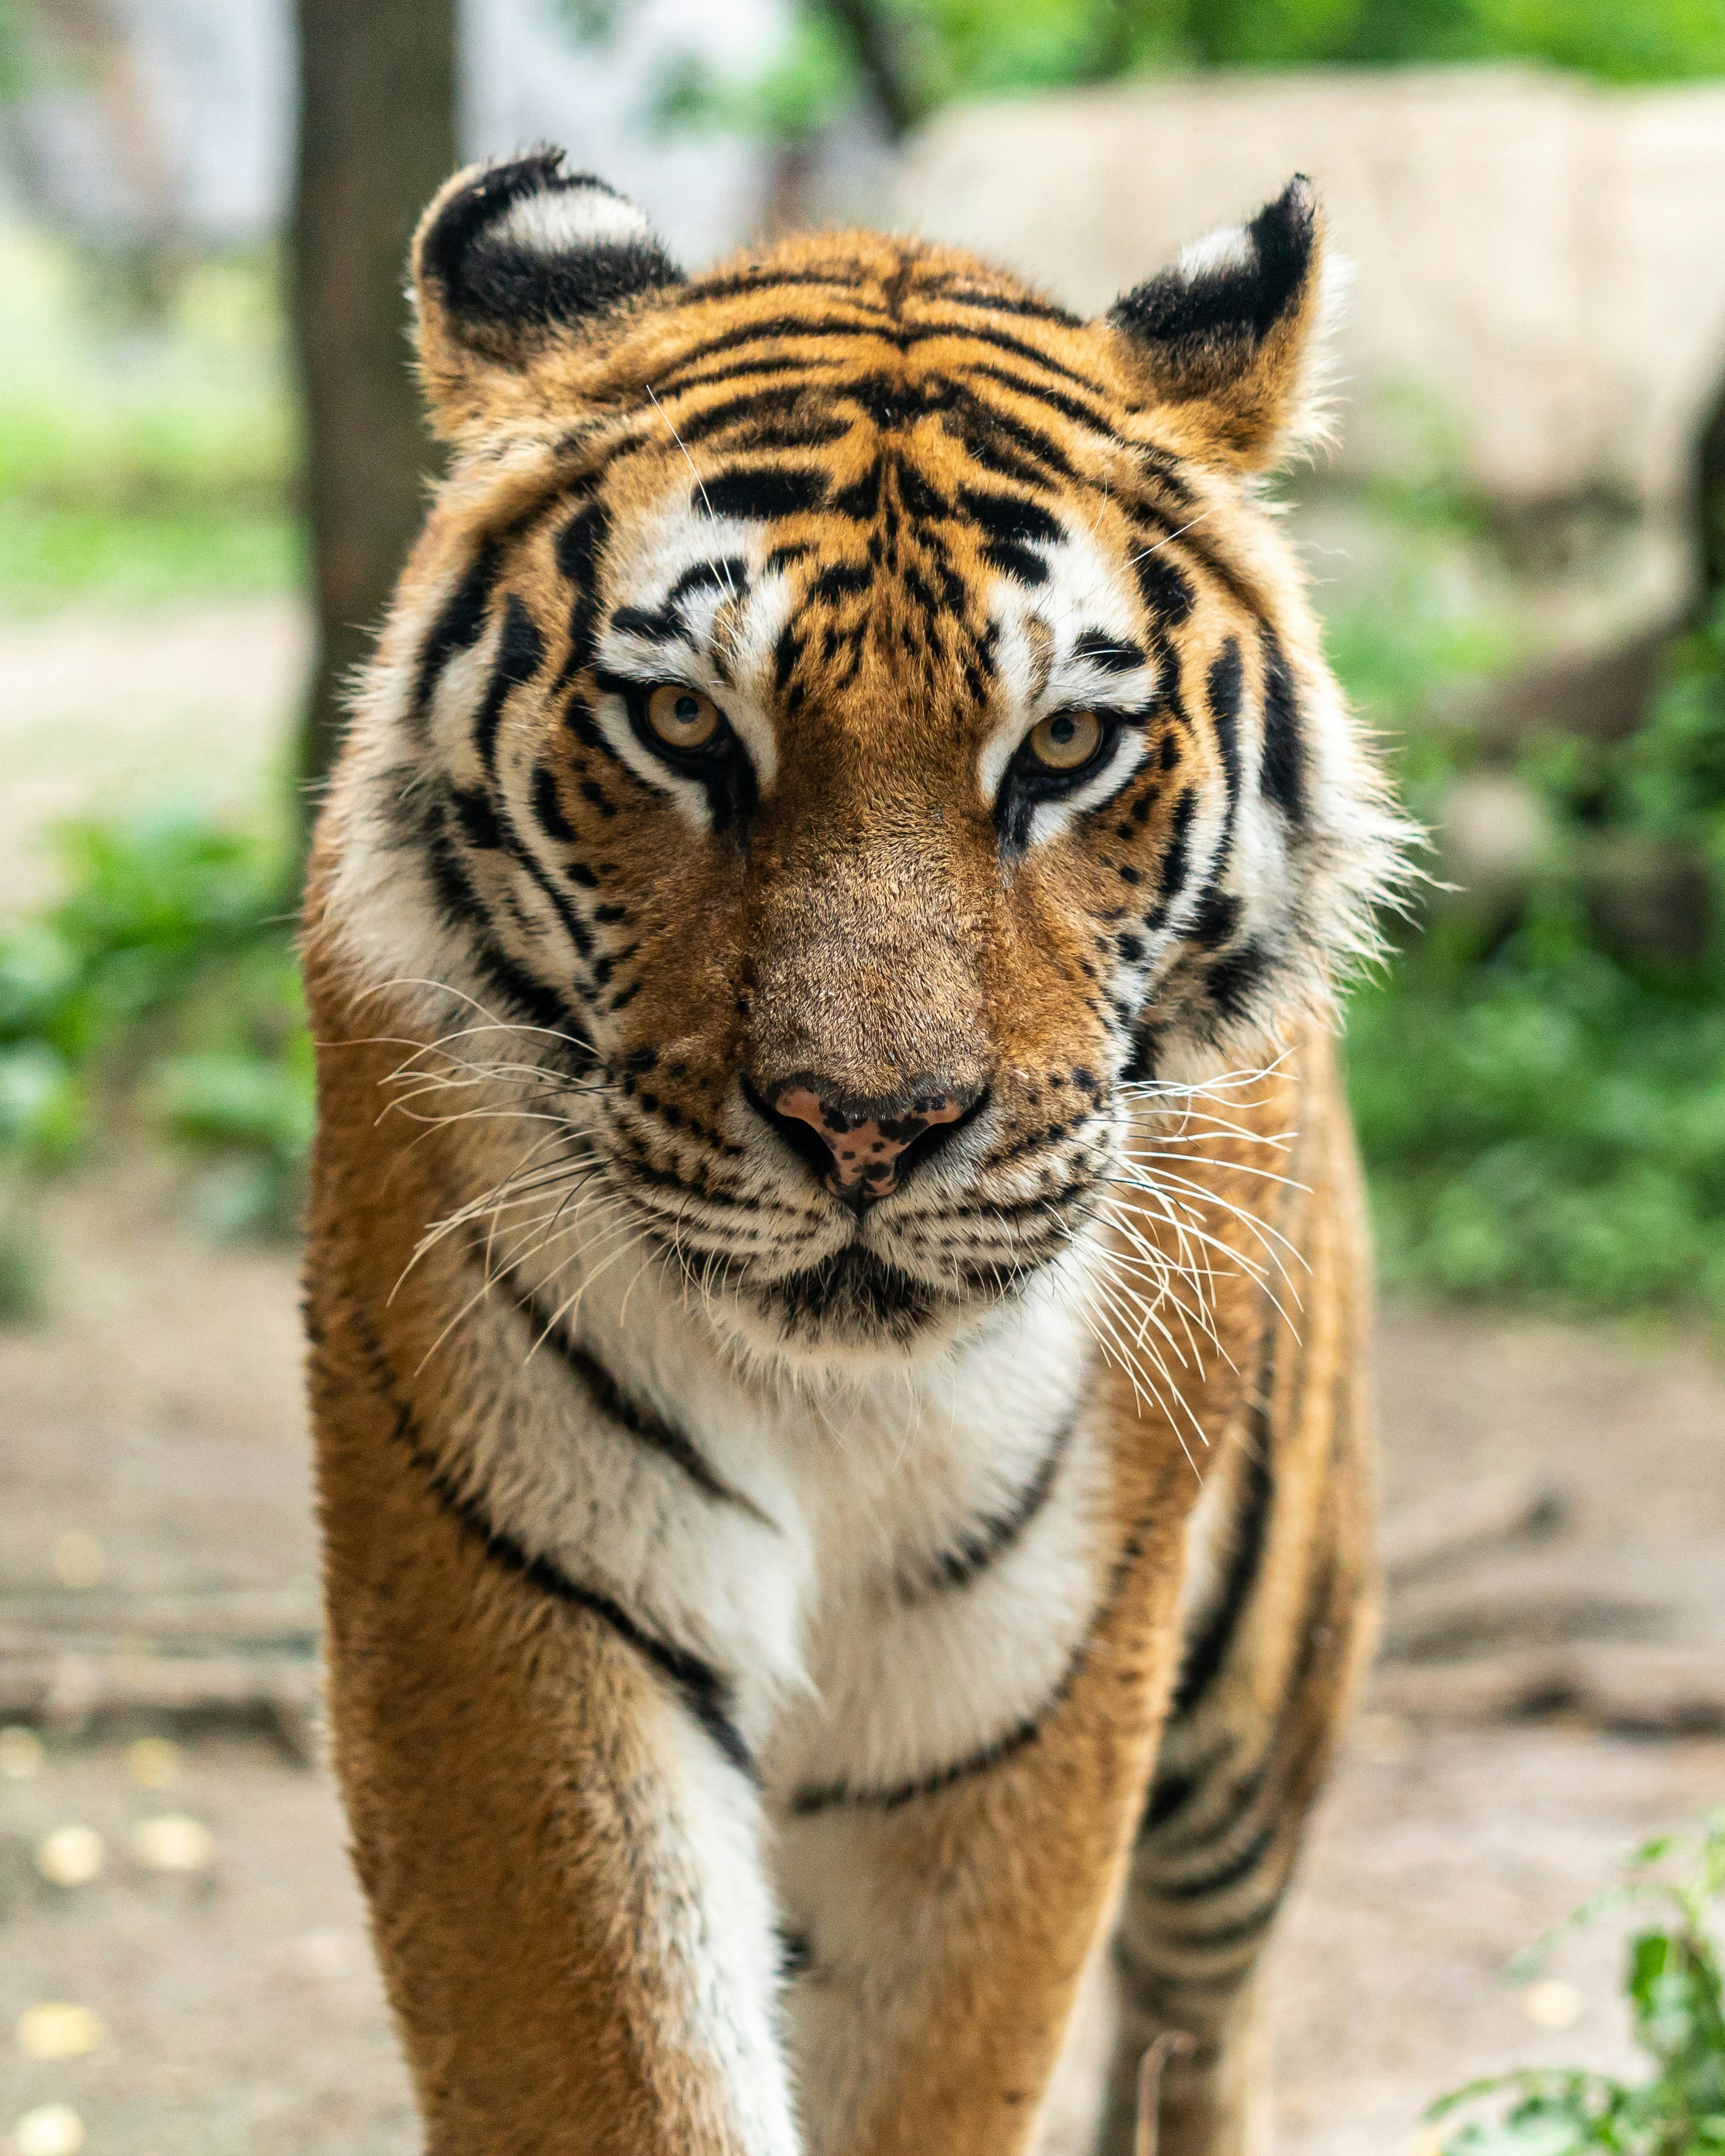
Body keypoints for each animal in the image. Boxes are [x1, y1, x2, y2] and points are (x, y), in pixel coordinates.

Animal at [300, 147, 1408, 2156]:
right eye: (680, 721)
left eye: (1062, 745)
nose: (866, 1127)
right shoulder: (516, 1595)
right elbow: (617, 2055)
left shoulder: (1024, 1680)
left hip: (1257, 1681)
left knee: (1203, 2013)